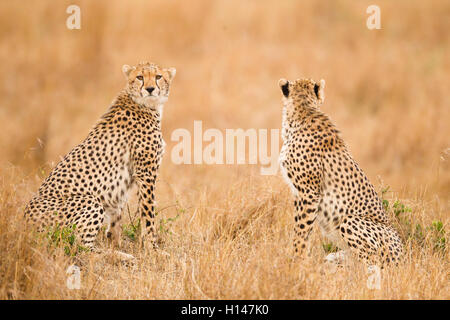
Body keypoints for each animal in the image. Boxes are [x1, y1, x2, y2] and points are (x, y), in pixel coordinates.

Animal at [24, 60, 176, 250]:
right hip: (90, 200)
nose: (149, 89)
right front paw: (153, 248)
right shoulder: (145, 174)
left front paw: (115, 245)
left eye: (158, 76)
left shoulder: (127, 181)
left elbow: (117, 218)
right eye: (140, 77)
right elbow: (148, 214)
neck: (143, 104)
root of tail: (24, 224)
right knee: (81, 248)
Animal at [278, 77, 404, 264]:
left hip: (350, 221)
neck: (304, 110)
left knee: (370, 262)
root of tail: (405, 256)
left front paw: (297, 258)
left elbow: (301, 229)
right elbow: (303, 229)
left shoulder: (309, 192)